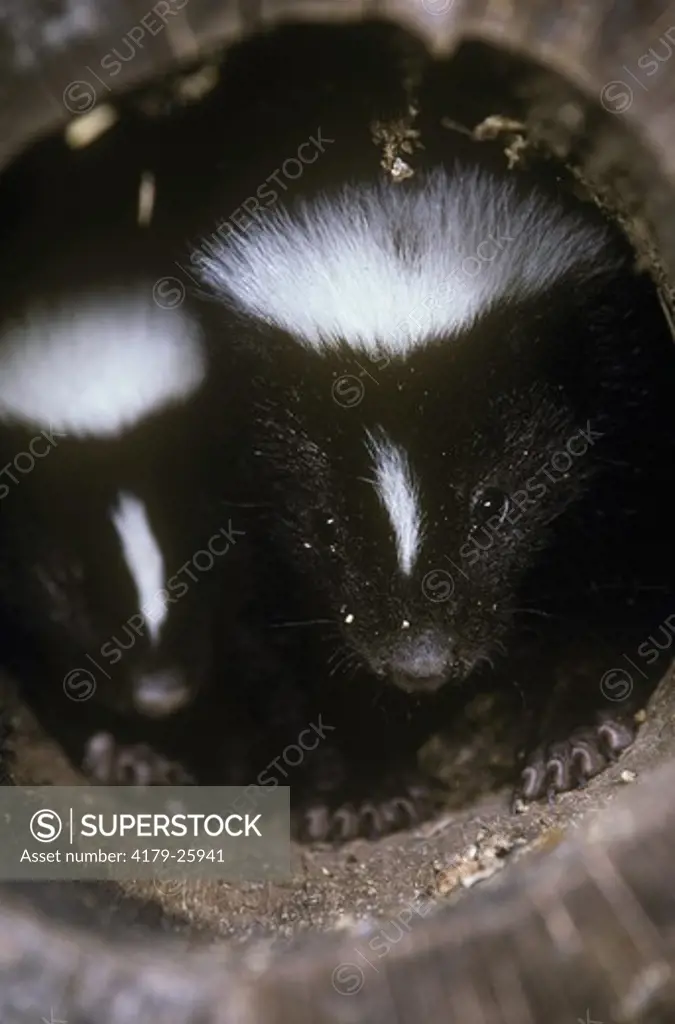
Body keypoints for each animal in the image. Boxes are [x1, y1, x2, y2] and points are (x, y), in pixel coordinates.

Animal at [193, 153, 675, 831]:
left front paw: (571, 736)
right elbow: (264, 635)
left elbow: (626, 562)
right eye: (327, 524)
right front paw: (361, 785)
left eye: (493, 504)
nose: (419, 663)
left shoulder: (623, 390)